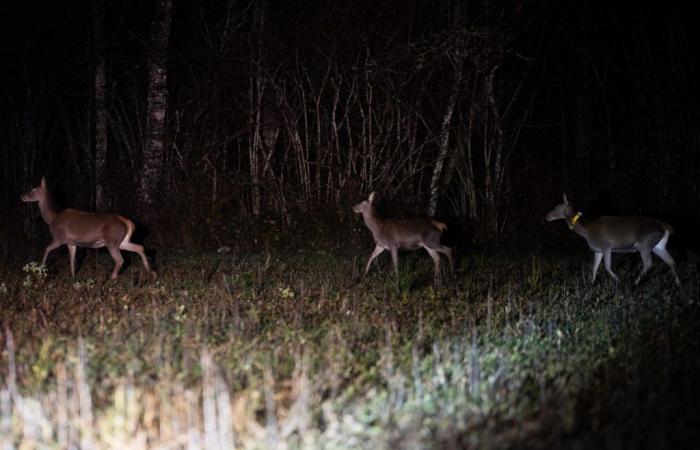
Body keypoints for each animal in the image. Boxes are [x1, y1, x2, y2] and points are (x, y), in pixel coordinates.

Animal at [21, 178, 154, 280]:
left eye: (34, 189)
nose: (22, 196)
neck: (52, 218)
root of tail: (127, 222)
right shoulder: (71, 242)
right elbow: (72, 259)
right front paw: (73, 277)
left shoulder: (59, 237)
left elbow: (46, 249)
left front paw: (40, 270)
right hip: (122, 241)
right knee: (139, 247)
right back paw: (150, 271)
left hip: (112, 241)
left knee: (120, 260)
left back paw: (111, 279)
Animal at [544, 192, 680, 284]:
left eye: (557, 207)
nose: (546, 216)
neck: (586, 232)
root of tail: (665, 226)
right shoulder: (597, 249)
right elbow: (594, 267)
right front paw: (592, 283)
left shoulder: (605, 245)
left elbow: (607, 266)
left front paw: (618, 280)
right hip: (658, 245)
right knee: (671, 261)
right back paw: (678, 283)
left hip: (645, 243)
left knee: (649, 263)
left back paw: (635, 282)